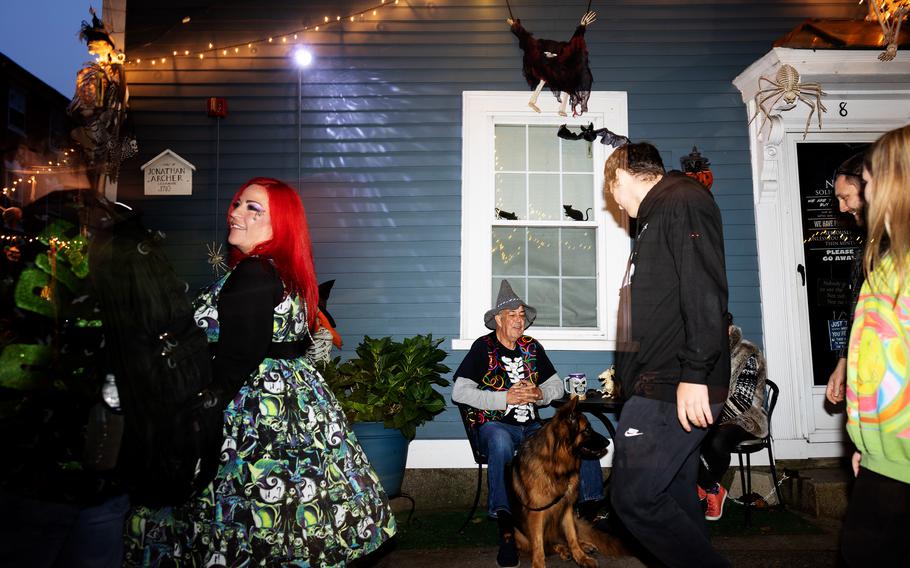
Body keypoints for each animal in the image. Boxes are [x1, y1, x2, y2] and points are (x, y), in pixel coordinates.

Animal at [510, 398, 624, 564]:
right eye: (587, 430)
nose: (608, 443)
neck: (555, 465)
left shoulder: (567, 507)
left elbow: (572, 536)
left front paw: (581, 557)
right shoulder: (536, 514)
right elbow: (538, 546)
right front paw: (539, 564)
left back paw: (582, 546)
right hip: (519, 535)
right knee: (547, 545)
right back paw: (563, 550)